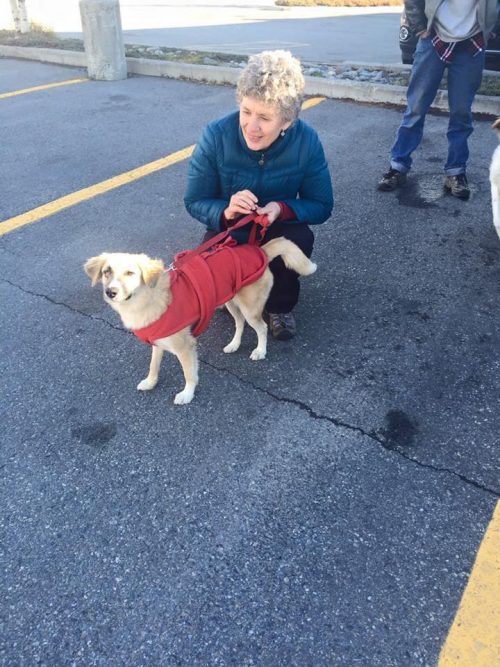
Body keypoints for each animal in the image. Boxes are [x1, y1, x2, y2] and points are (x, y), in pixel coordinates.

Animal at [84, 240, 314, 408]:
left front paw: (187, 394)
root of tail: (261, 251)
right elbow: (153, 365)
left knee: (261, 328)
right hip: (231, 302)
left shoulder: (185, 347)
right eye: (106, 271)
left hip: (249, 308)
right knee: (239, 323)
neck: (147, 298)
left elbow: (189, 373)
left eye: (130, 273)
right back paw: (234, 345)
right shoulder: (159, 341)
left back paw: (260, 351)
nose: (110, 292)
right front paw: (150, 382)